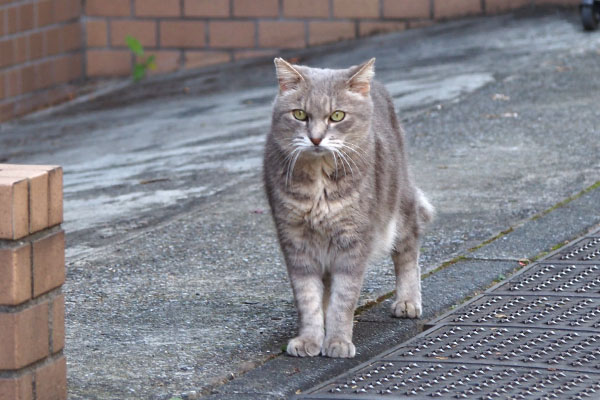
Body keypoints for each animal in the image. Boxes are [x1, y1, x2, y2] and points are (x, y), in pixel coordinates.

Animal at [262, 57, 432, 358]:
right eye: (300, 115)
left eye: (337, 116)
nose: (316, 139)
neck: (319, 182)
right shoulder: (295, 242)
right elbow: (309, 298)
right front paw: (310, 339)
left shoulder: (353, 241)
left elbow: (344, 299)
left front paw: (338, 341)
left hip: (400, 211)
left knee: (408, 255)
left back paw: (407, 302)